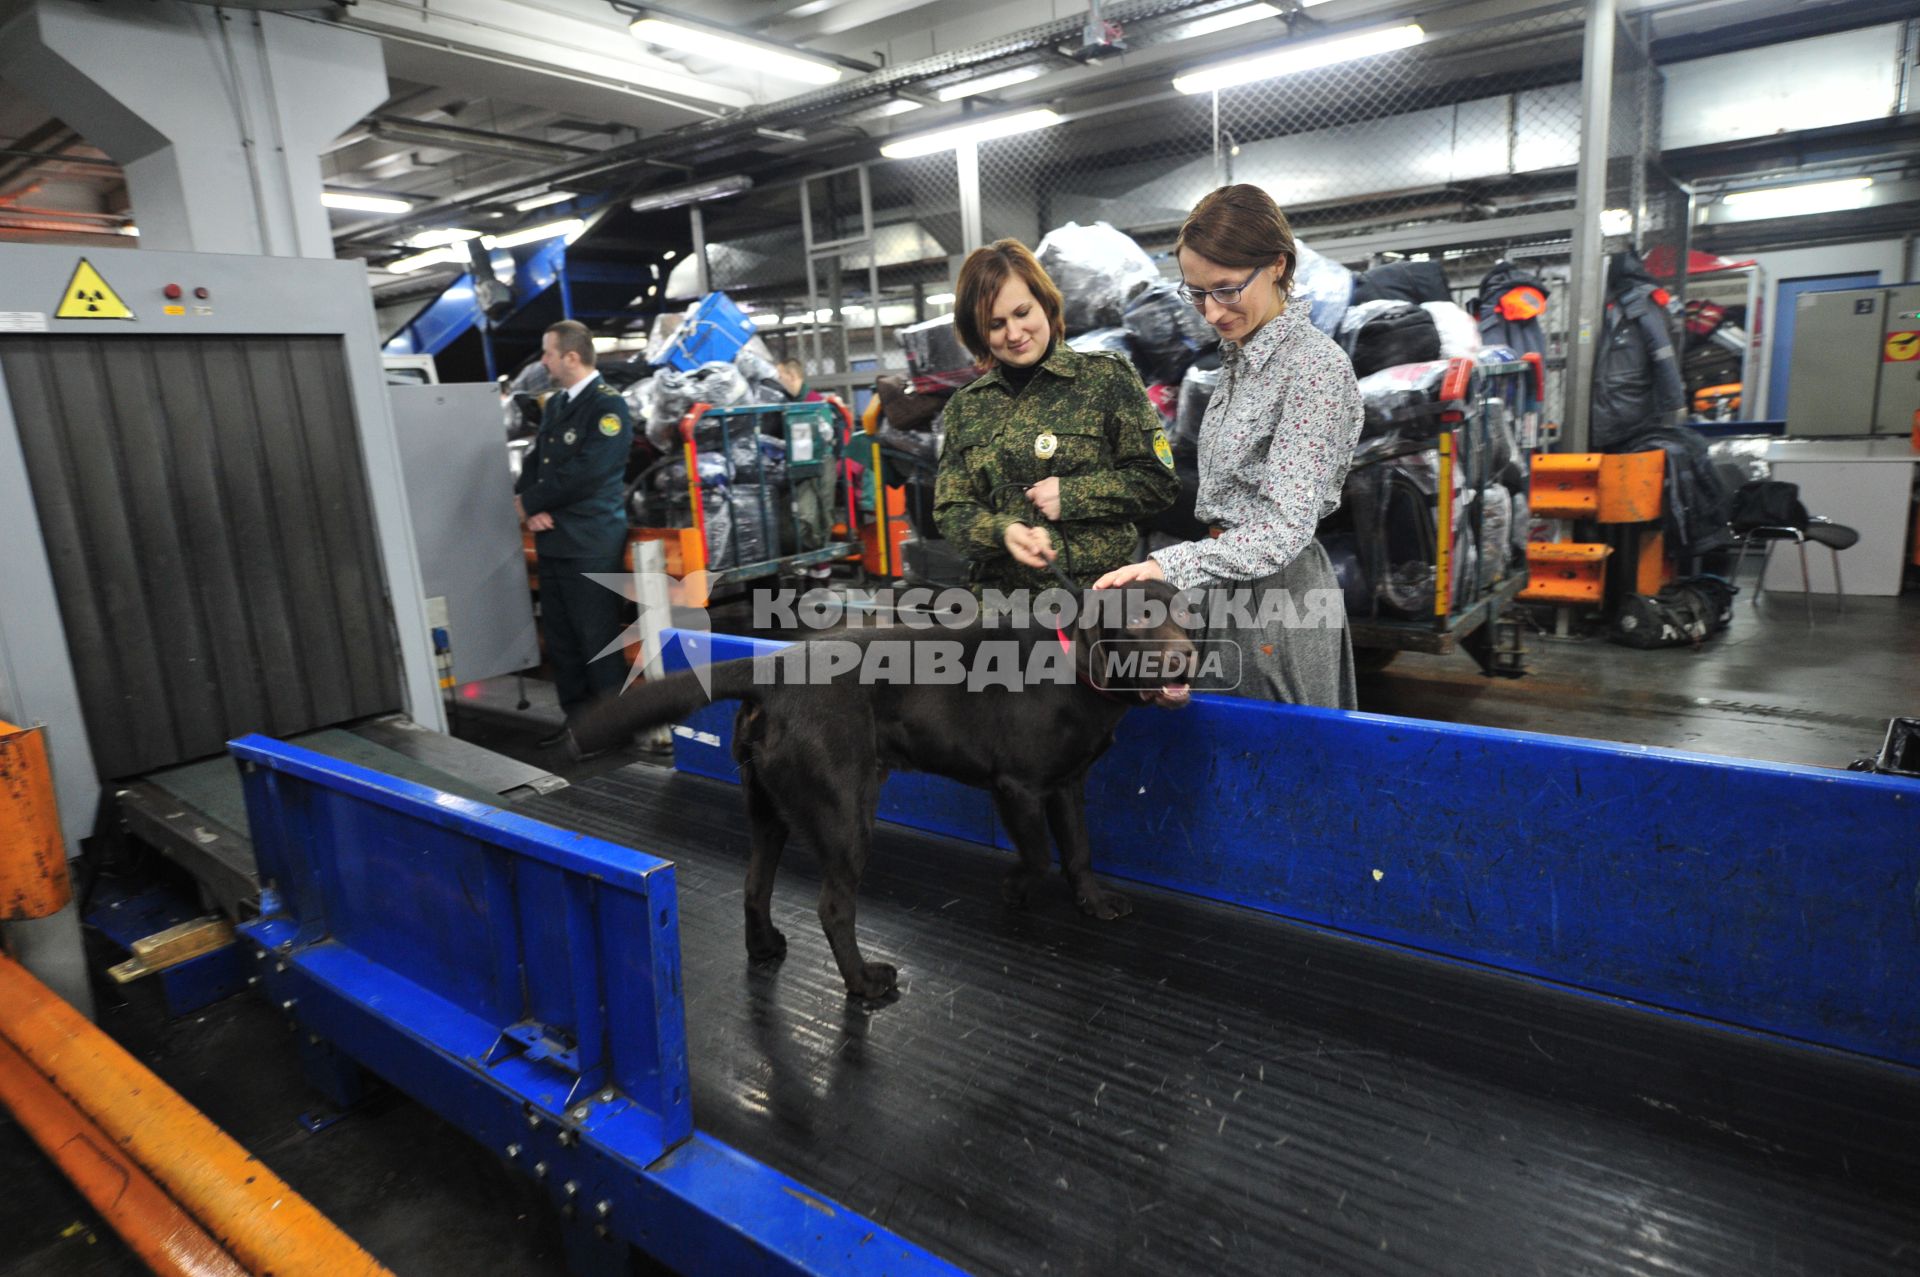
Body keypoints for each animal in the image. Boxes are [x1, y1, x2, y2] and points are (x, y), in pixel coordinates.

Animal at [576, 583, 1190, 998]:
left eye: (1185, 613)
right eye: (1139, 617)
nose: (1185, 656)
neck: (1073, 669)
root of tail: (771, 672)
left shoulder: (1066, 785)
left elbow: (1079, 852)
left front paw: (1094, 903)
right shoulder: (1016, 785)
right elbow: (1039, 856)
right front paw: (1015, 889)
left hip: (769, 811)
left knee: (754, 886)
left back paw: (765, 946)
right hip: (846, 814)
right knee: (833, 907)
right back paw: (864, 983)